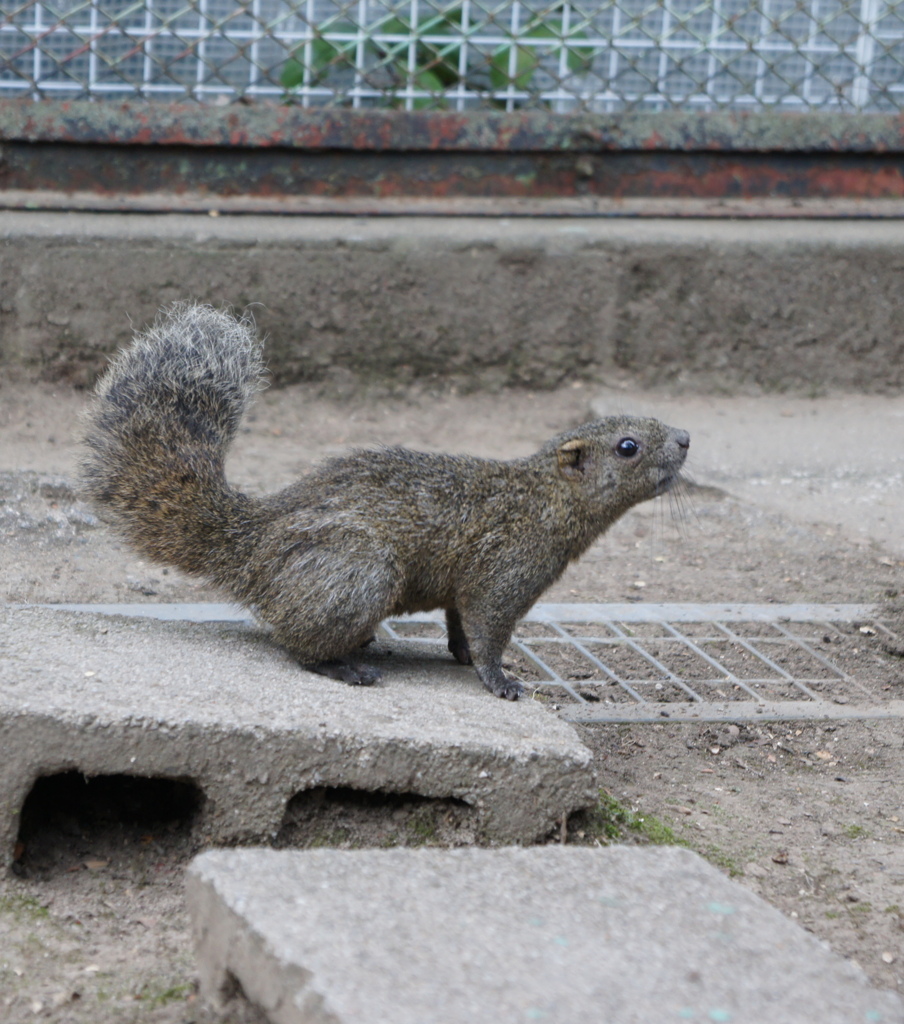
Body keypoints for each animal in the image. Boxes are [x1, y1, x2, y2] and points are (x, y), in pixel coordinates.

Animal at [82, 303, 692, 700]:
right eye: (628, 447)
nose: (686, 438)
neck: (544, 501)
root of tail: (250, 546)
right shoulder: (504, 572)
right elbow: (487, 629)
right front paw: (499, 679)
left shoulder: (468, 581)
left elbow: (457, 622)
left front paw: (460, 654)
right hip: (359, 573)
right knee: (297, 646)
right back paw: (345, 667)